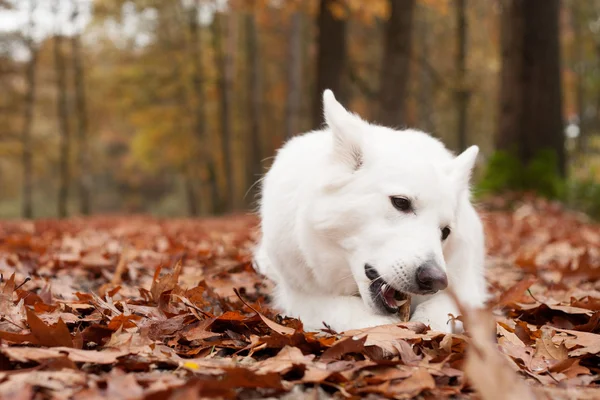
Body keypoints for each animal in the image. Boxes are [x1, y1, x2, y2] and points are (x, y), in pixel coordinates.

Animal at [254, 91, 488, 334]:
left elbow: (438, 311)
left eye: (445, 232)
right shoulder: (302, 297)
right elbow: (345, 309)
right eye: (401, 203)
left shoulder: (466, 289)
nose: (436, 280)